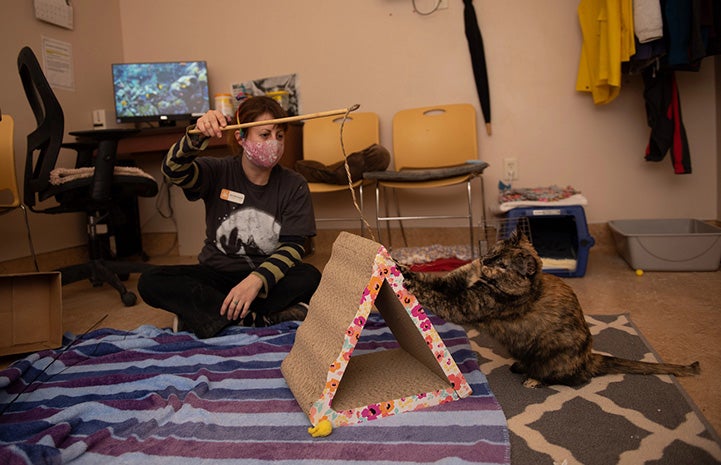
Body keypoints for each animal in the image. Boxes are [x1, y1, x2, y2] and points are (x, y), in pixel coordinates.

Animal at [400, 229, 696, 388]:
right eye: (494, 252)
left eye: (503, 265)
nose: (484, 260)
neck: (483, 278)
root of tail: (590, 358)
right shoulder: (455, 280)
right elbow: (431, 279)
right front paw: (403, 268)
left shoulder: (465, 305)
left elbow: (438, 297)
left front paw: (411, 286)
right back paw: (520, 367)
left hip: (554, 356)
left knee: (573, 380)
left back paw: (534, 380)